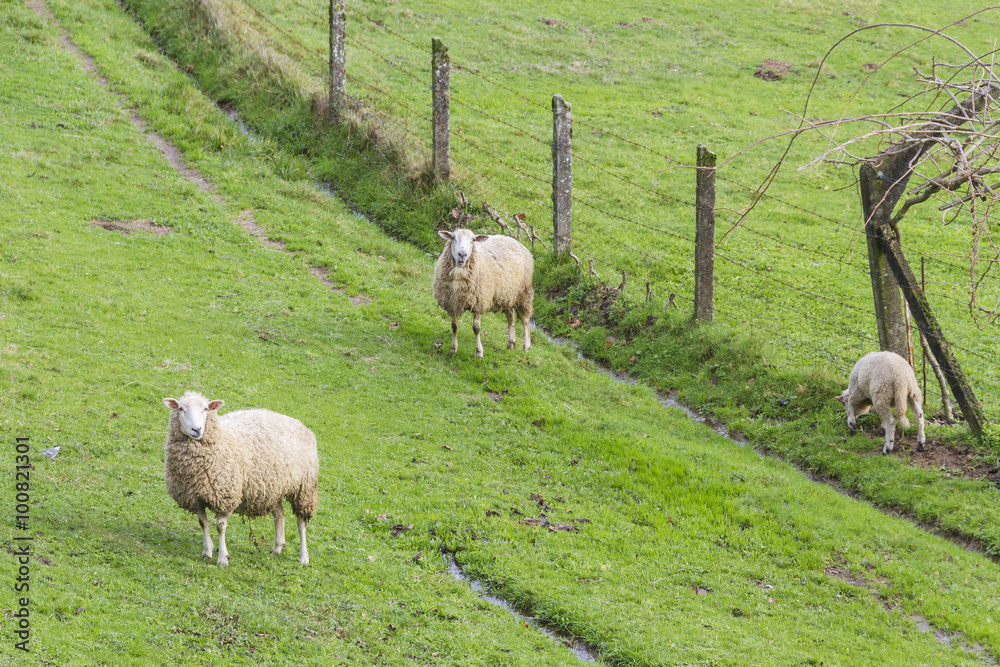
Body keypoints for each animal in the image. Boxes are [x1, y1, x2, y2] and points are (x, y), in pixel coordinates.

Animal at [162, 391, 318, 566]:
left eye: (205, 409)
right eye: (181, 409)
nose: (196, 429)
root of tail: (301, 424)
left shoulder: (224, 495)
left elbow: (220, 527)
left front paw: (222, 558)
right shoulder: (195, 497)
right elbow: (203, 523)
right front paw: (207, 552)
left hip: (305, 487)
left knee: (301, 523)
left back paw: (304, 557)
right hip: (274, 488)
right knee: (279, 514)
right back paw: (277, 547)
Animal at [433, 229, 534, 358]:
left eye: (472, 240)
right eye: (453, 238)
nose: (462, 254)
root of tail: (516, 241)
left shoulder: (478, 303)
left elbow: (476, 328)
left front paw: (479, 352)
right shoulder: (452, 303)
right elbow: (454, 327)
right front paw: (453, 349)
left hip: (523, 293)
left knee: (525, 319)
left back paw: (526, 346)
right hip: (507, 295)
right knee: (510, 317)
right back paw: (511, 343)